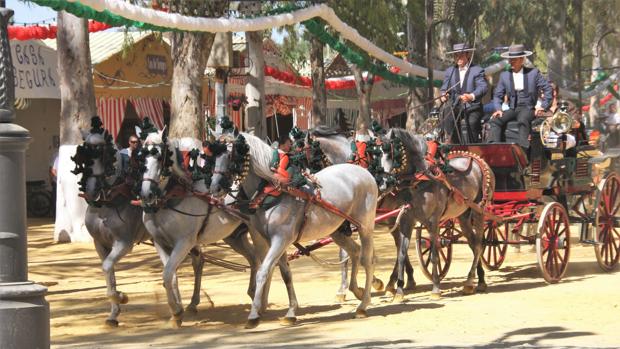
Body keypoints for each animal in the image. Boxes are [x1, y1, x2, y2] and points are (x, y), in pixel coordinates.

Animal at [209, 132, 378, 328]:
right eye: (214, 156)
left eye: (231, 155)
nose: (215, 188)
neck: (274, 189)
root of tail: (365, 173)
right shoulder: (274, 241)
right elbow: (286, 274)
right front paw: (291, 312)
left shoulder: (280, 239)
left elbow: (263, 272)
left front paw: (253, 315)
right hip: (337, 231)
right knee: (354, 251)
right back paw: (355, 290)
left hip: (365, 227)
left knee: (368, 260)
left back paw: (363, 304)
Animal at [378, 128, 494, 300]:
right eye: (377, 153)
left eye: (393, 154)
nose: (384, 184)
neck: (418, 181)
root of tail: (478, 160)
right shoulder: (406, 221)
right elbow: (401, 254)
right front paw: (399, 291)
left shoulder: (433, 222)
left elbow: (434, 255)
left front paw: (436, 288)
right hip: (463, 216)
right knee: (473, 244)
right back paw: (479, 280)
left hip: (479, 210)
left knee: (480, 244)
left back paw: (470, 280)